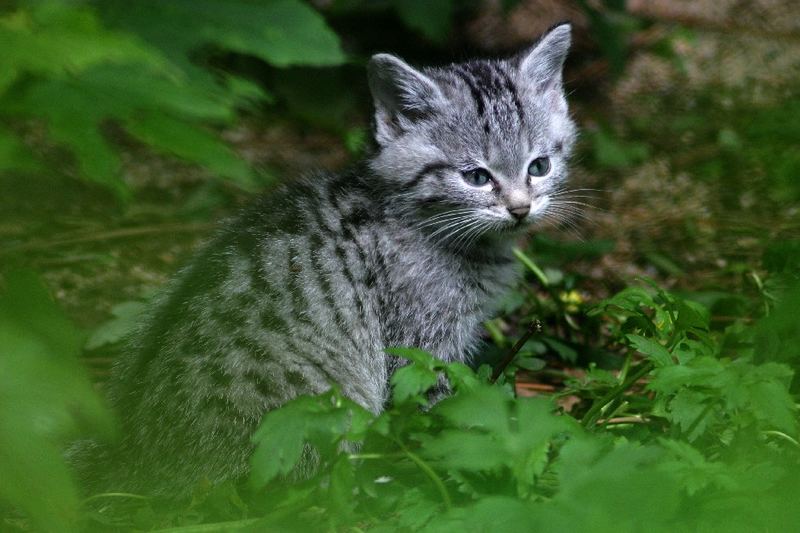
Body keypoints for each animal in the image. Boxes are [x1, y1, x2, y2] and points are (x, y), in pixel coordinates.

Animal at [75, 20, 576, 494]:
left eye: (539, 167)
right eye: (475, 177)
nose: (520, 208)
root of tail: (132, 455)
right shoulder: (418, 345)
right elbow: (432, 410)